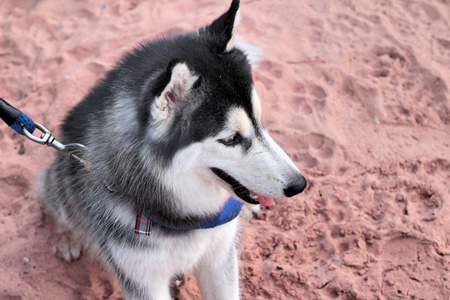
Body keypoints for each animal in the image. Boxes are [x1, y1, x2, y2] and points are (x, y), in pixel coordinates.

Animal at [39, 1, 306, 298]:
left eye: (260, 120)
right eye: (231, 139)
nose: (299, 185)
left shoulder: (220, 258)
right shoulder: (142, 279)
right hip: (58, 177)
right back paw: (66, 235)